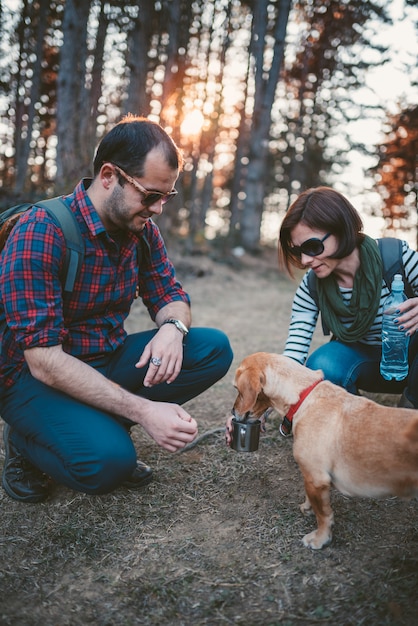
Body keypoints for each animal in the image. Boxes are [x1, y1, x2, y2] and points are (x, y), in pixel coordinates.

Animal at [230, 352, 418, 544]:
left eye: (237, 389)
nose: (232, 412)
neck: (303, 398)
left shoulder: (316, 478)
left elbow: (323, 515)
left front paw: (320, 538)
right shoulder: (311, 477)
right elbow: (310, 498)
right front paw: (307, 507)